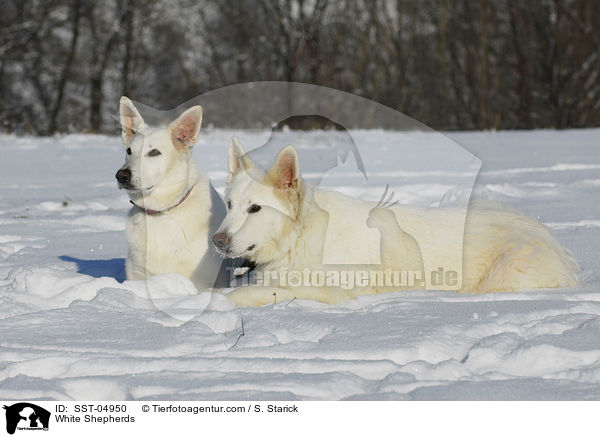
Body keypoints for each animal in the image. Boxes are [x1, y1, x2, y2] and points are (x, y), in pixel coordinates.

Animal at [116, 97, 226, 292]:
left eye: (154, 152)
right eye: (129, 151)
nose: (121, 176)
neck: (162, 212)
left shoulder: (202, 283)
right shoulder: (138, 275)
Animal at [213, 138, 580, 304]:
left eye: (255, 209)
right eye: (230, 205)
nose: (217, 241)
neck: (300, 234)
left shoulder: (335, 292)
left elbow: (256, 292)